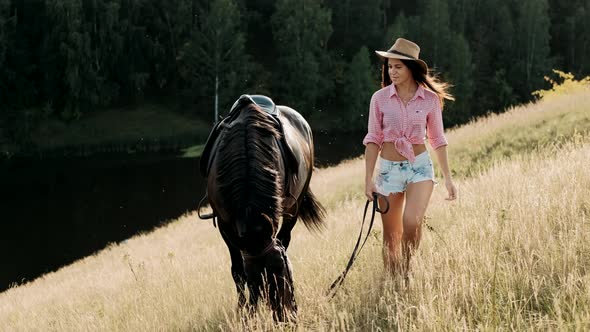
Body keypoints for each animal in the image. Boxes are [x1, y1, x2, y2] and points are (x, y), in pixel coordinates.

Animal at [201, 94, 326, 320]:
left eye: (284, 270)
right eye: (256, 281)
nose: (285, 318)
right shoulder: (225, 227)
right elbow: (237, 272)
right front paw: (244, 311)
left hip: (293, 210)